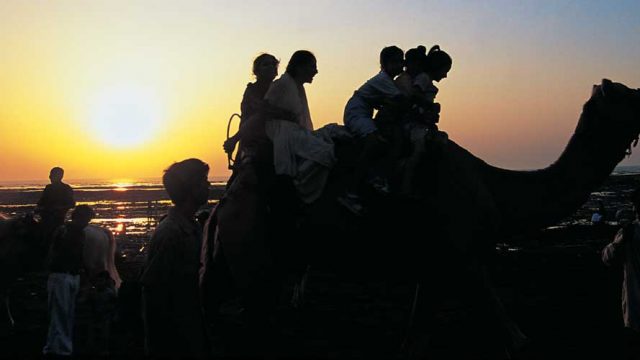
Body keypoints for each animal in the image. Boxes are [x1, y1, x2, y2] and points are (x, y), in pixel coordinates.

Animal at [202, 79, 640, 358]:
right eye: (625, 93)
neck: (491, 186)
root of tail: (223, 204)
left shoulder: (435, 266)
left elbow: (415, 340)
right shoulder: (461, 256)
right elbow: (510, 332)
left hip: (239, 256)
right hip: (254, 252)